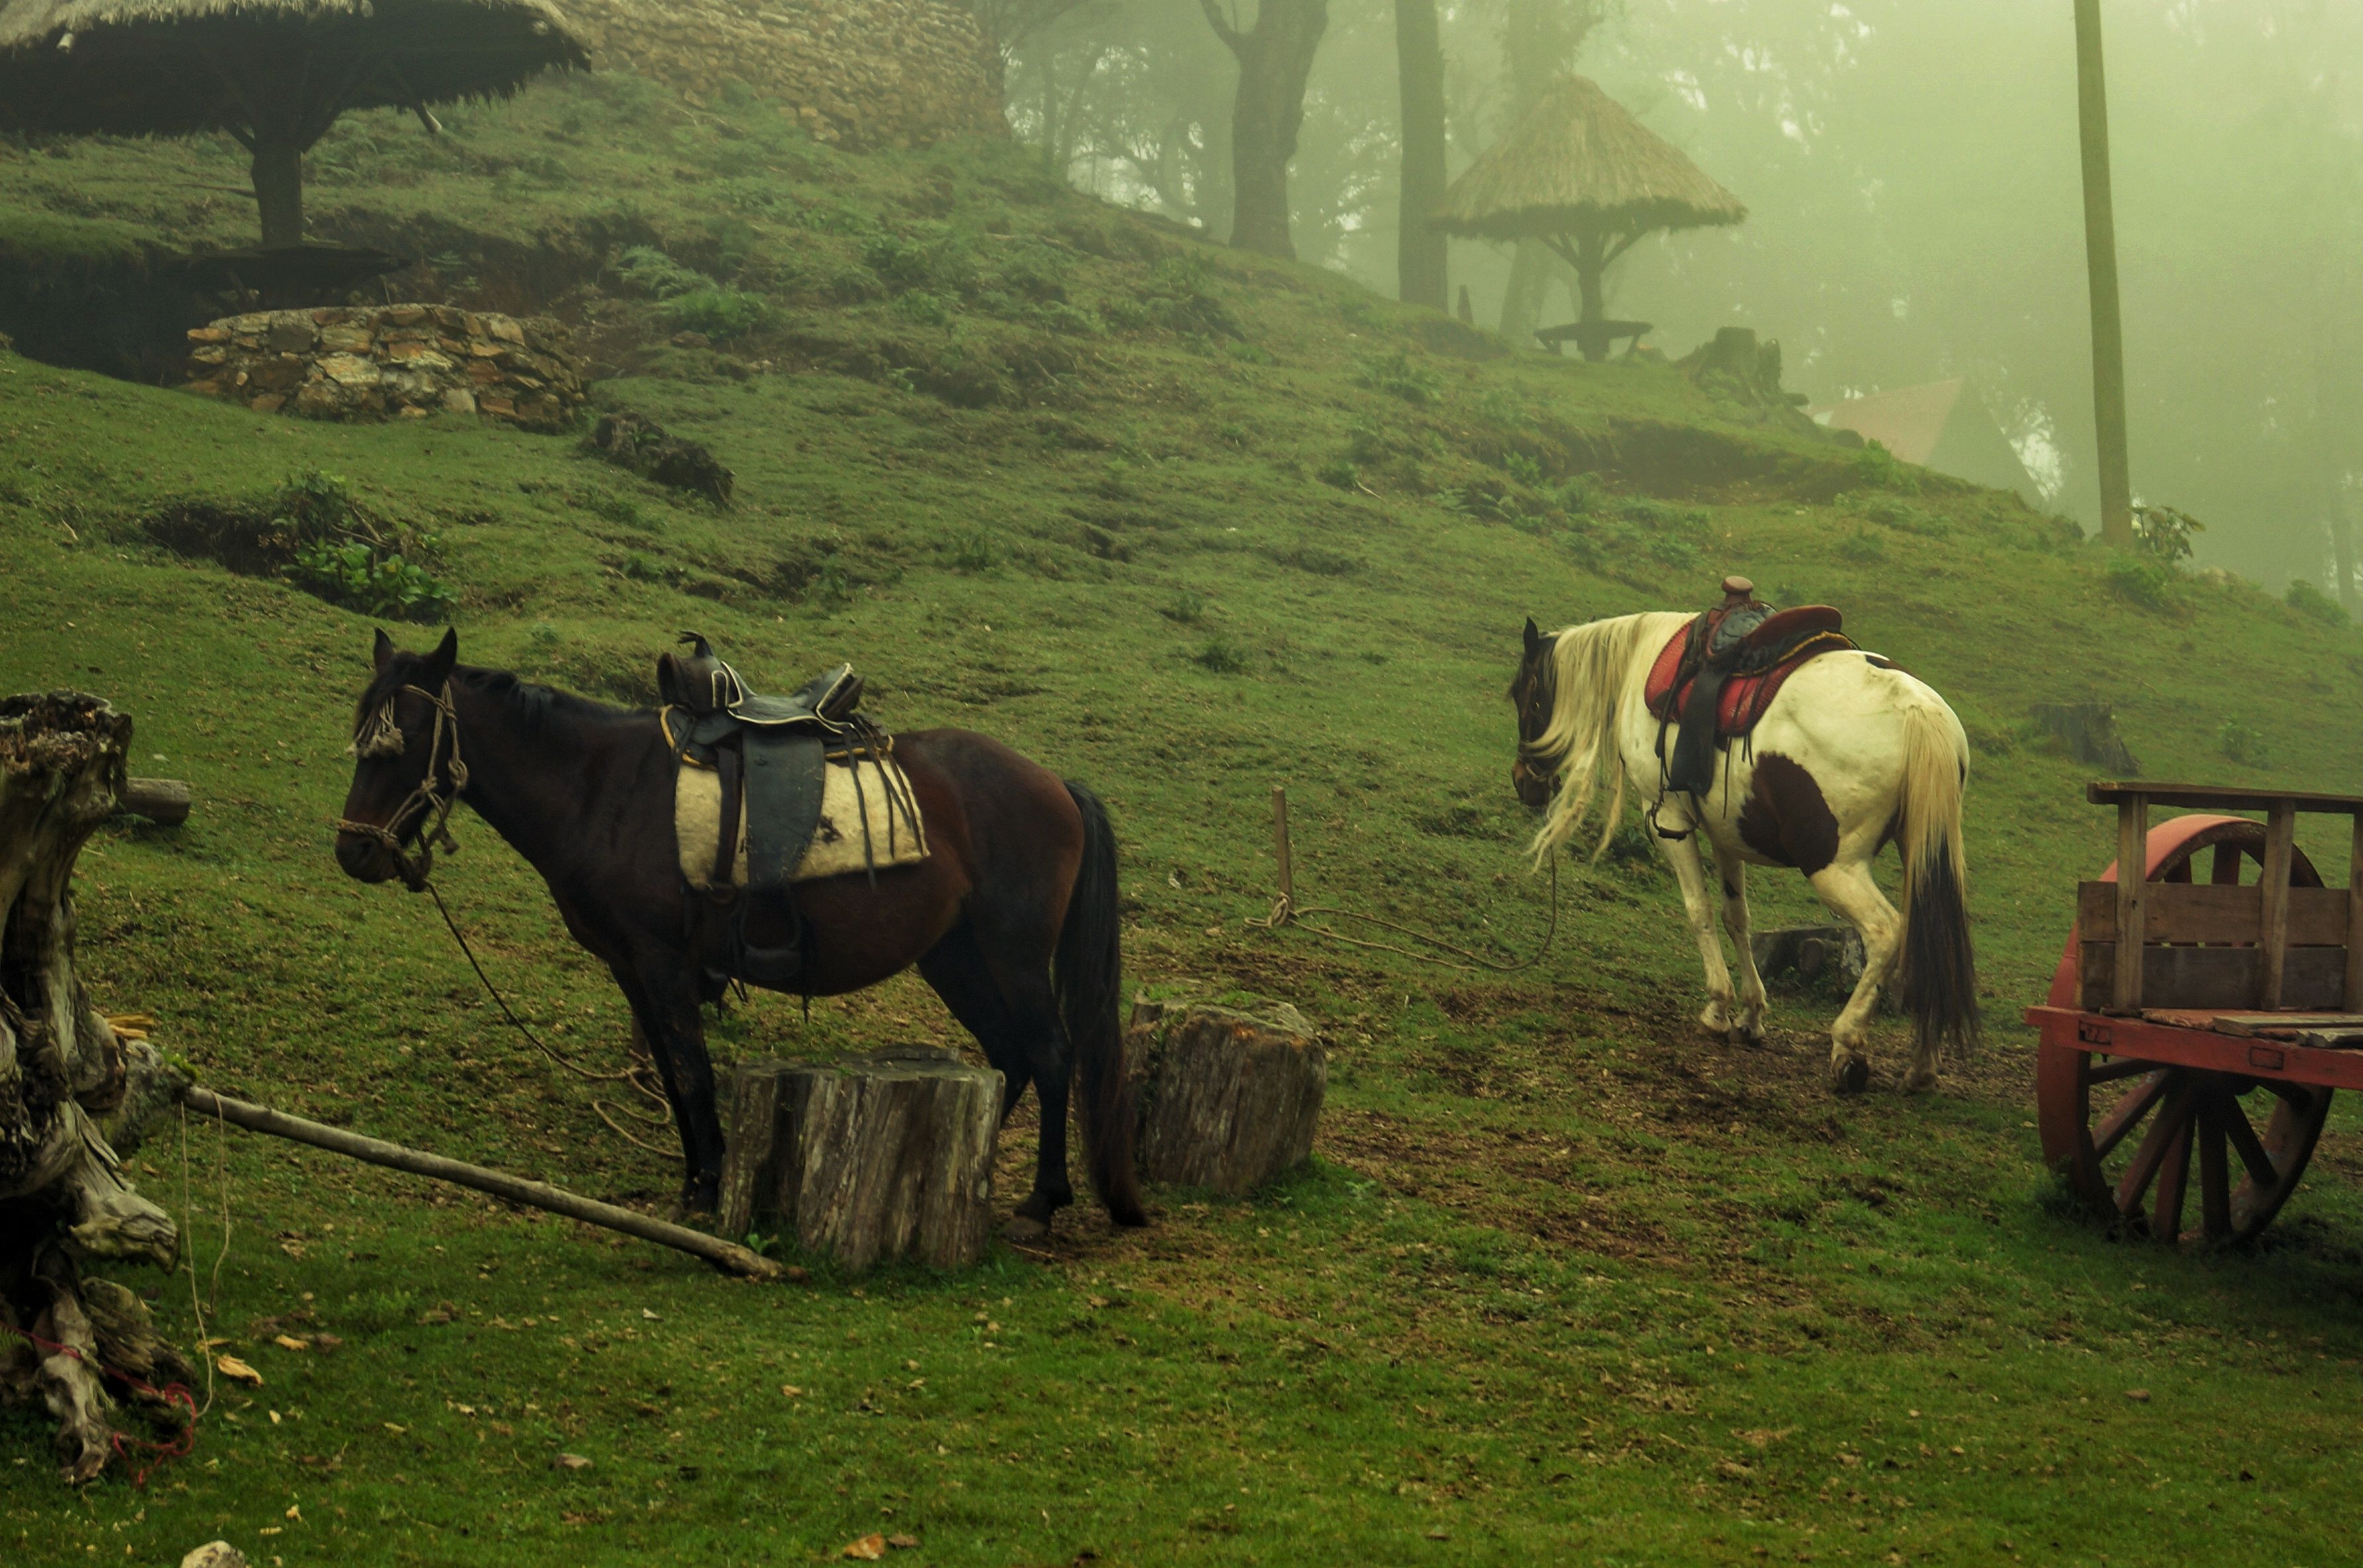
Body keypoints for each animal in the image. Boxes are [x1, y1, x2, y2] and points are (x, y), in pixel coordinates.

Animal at [332, 628, 1146, 1237]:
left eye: (406, 736)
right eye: (361, 734)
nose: (354, 852)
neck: (601, 789)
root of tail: (1053, 783)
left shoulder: (662, 961)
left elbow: (692, 1073)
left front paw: (711, 1186)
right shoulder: (632, 967)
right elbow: (669, 1072)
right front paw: (696, 1180)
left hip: (1014, 954)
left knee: (1050, 1054)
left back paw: (1041, 1202)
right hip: (955, 957)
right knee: (1008, 1056)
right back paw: (958, 1178)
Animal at [1507, 612, 1980, 1093]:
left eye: (1527, 700)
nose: (1523, 781)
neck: (1644, 658)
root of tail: (1919, 711)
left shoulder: (1669, 820)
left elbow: (1698, 910)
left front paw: (1717, 1009)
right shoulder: (1726, 833)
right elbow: (1738, 918)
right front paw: (1751, 1015)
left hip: (1834, 866)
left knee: (1886, 932)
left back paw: (1848, 1047)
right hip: (1922, 852)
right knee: (1930, 937)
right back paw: (1922, 1065)